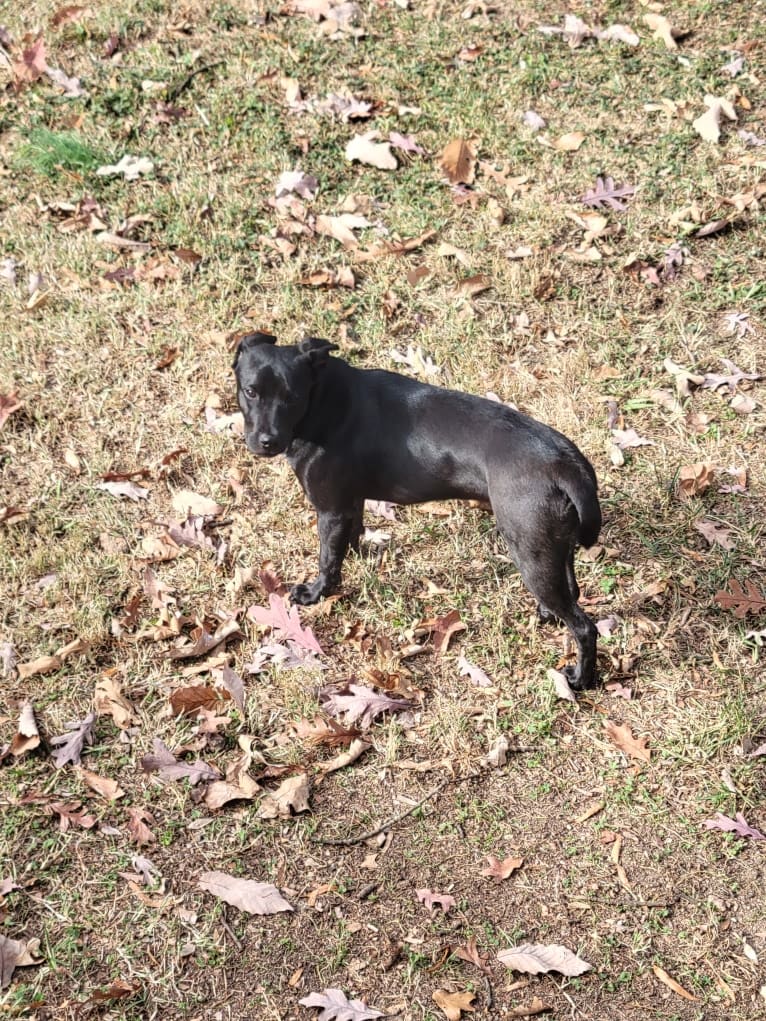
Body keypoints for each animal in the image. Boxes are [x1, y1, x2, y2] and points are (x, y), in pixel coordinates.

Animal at [235, 330, 604, 690]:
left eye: (292, 397)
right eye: (250, 392)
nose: (267, 441)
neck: (322, 396)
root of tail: (565, 462)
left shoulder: (329, 509)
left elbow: (327, 559)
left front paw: (315, 593)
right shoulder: (349, 502)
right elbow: (350, 536)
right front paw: (356, 556)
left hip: (530, 553)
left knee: (584, 627)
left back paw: (580, 678)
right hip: (553, 546)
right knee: (572, 591)